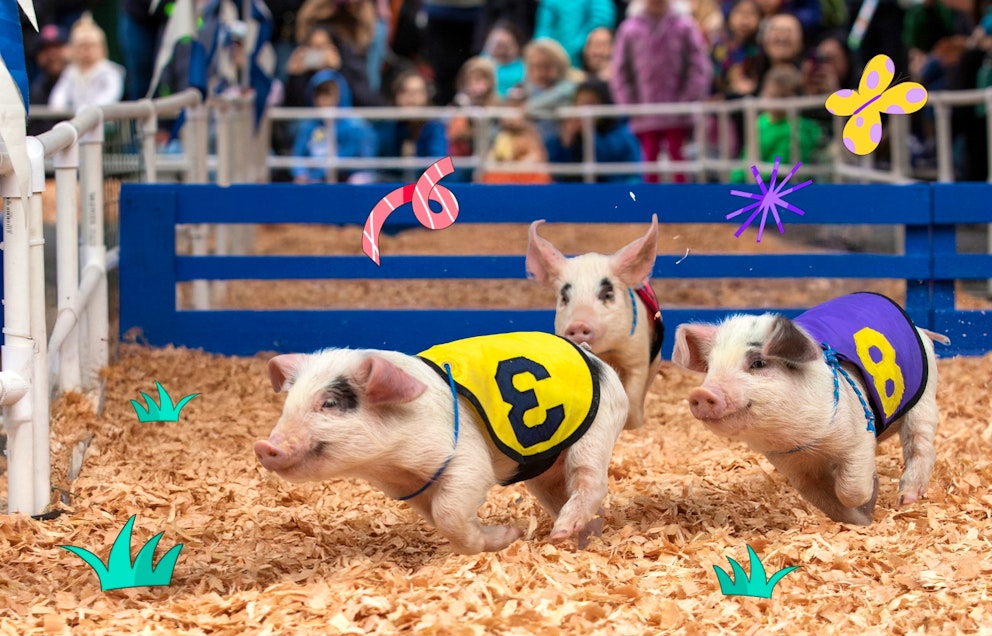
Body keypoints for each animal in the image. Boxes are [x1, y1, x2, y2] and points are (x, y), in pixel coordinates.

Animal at [254, 331, 629, 554]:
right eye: (289, 402)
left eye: (330, 403)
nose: (263, 447)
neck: (391, 463)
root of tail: (597, 361)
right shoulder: (411, 488)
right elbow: (437, 516)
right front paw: (507, 537)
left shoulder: (464, 459)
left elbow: (448, 513)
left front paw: (511, 535)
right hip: (543, 469)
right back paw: (579, 536)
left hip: (596, 431)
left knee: (591, 481)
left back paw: (562, 533)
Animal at [526, 214, 663, 431]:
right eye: (564, 298)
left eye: (607, 294)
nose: (578, 324)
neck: (606, 353)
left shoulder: (637, 354)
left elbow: (633, 392)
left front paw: (632, 426)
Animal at [672, 292, 948, 526]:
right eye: (710, 367)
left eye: (758, 363)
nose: (701, 394)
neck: (804, 441)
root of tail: (920, 329)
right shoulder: (795, 469)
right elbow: (828, 502)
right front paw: (861, 522)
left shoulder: (858, 437)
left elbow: (849, 489)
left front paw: (871, 496)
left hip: (924, 399)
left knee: (921, 445)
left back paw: (906, 499)